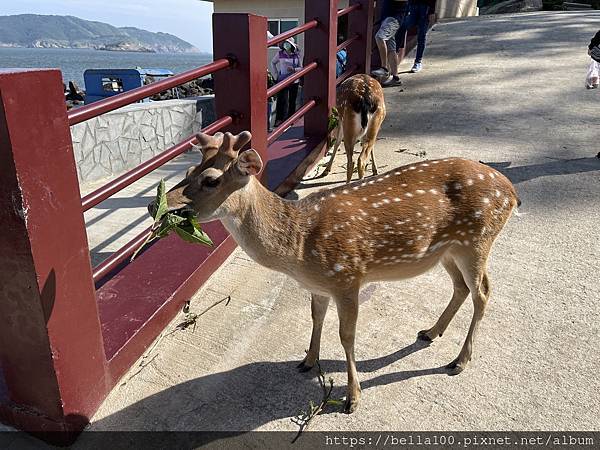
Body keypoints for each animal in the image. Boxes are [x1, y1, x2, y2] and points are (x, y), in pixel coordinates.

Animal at [158, 129, 520, 412]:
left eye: (211, 180)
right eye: (188, 170)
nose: (159, 206)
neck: (298, 248)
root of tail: (512, 193)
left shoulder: (348, 276)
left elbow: (347, 336)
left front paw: (352, 398)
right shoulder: (319, 286)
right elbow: (316, 318)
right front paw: (307, 361)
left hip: (477, 239)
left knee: (483, 292)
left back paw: (459, 361)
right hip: (448, 250)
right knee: (462, 287)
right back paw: (430, 332)